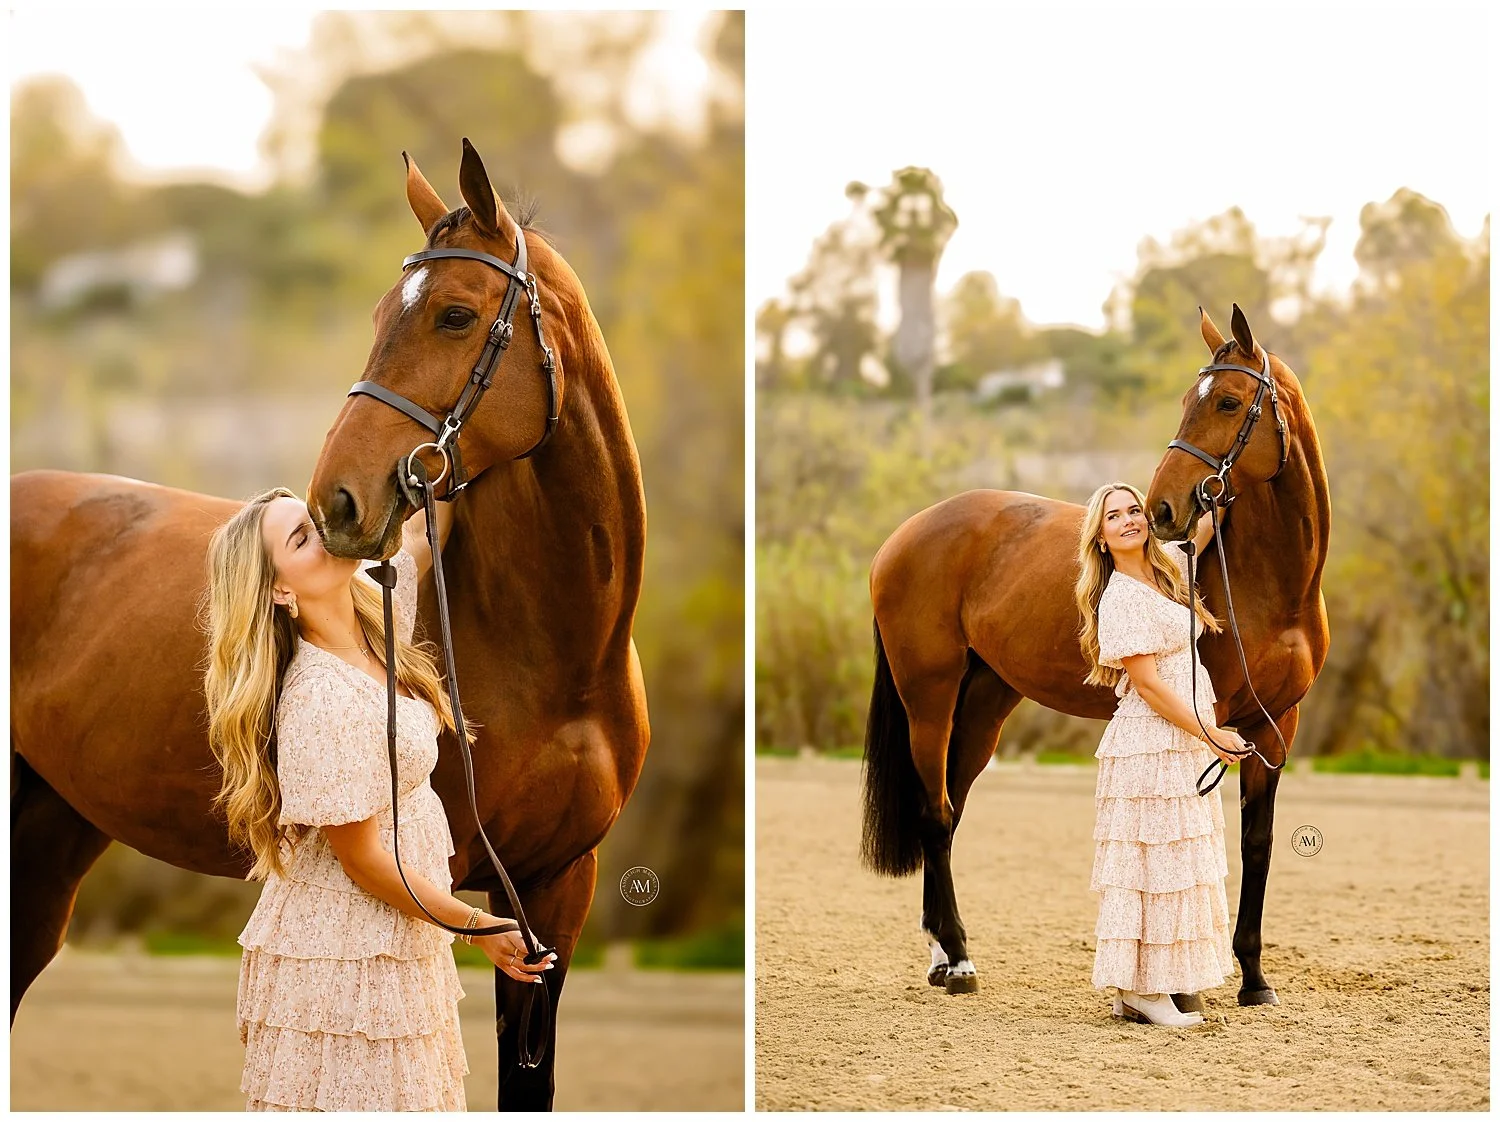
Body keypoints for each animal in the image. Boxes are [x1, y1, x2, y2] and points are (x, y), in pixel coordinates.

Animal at [10, 138, 650, 1110]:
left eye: (456, 316)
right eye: (384, 312)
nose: (336, 501)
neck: (556, 656)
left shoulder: (555, 894)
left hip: (49, 832)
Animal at [861, 304, 1329, 1010]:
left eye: (1226, 401)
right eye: (1186, 401)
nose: (1161, 508)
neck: (1268, 582)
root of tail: (904, 534)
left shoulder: (1275, 727)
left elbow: (1258, 842)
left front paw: (1254, 980)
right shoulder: (1206, 721)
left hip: (984, 704)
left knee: (945, 811)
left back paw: (943, 954)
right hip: (929, 698)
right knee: (934, 815)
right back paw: (961, 961)